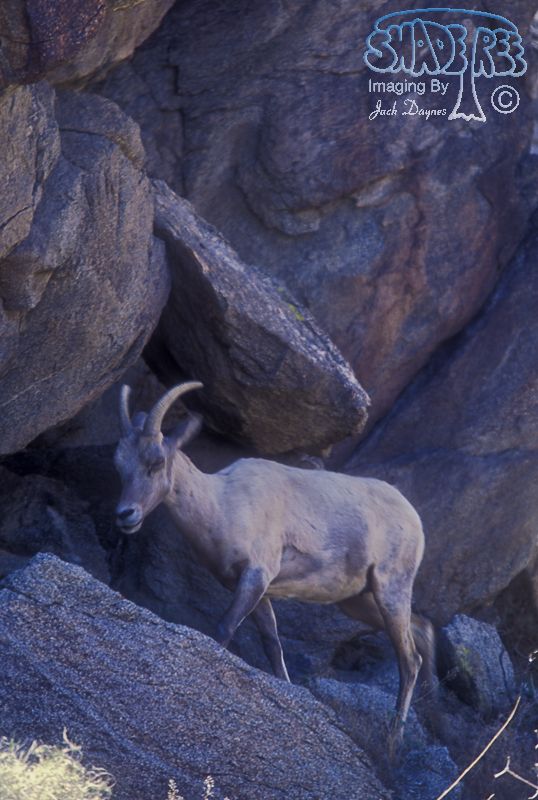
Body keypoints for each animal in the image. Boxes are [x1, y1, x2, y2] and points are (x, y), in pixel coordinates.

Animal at [114, 381, 435, 750]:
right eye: (119, 465)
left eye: (156, 462)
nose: (125, 515)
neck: (221, 504)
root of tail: (413, 518)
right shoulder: (261, 590)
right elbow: (272, 646)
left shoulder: (255, 575)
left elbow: (225, 629)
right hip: (359, 600)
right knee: (422, 632)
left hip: (389, 589)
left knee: (408, 659)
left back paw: (393, 742)